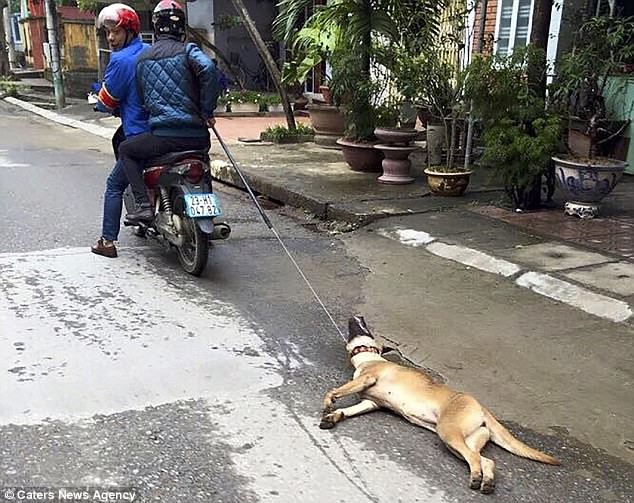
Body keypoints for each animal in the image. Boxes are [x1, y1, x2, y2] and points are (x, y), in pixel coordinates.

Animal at [318, 316, 556, 494]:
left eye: (364, 327)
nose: (358, 316)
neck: (368, 357)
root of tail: (479, 405)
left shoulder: (367, 379)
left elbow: (335, 391)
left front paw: (329, 402)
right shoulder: (370, 403)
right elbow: (348, 410)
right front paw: (334, 416)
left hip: (448, 432)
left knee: (475, 460)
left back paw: (477, 479)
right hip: (462, 441)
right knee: (486, 460)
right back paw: (486, 481)